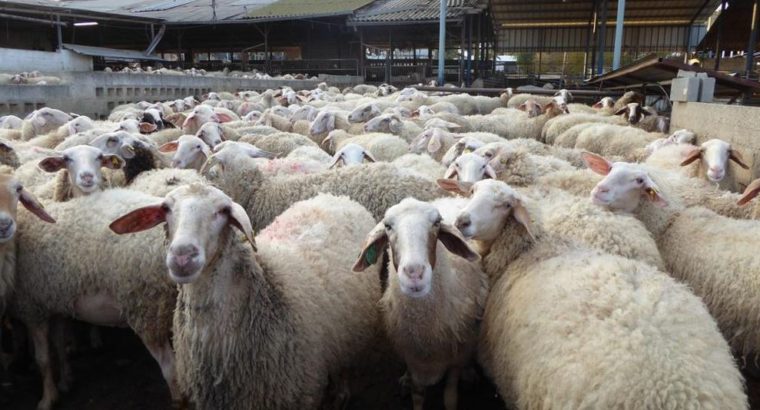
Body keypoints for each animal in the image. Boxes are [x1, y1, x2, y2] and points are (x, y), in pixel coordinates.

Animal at [11, 188, 182, 410]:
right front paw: (65, 381)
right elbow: (59, 345)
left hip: (147, 310)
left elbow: (43, 359)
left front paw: (47, 398)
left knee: (172, 371)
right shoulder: (56, 303)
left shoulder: (33, 308)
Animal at [352, 198, 486, 410]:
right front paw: (410, 385)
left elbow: (450, 397)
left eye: (437, 222)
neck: (425, 330)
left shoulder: (455, 358)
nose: (414, 273)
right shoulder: (413, 357)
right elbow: (417, 396)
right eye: (388, 226)